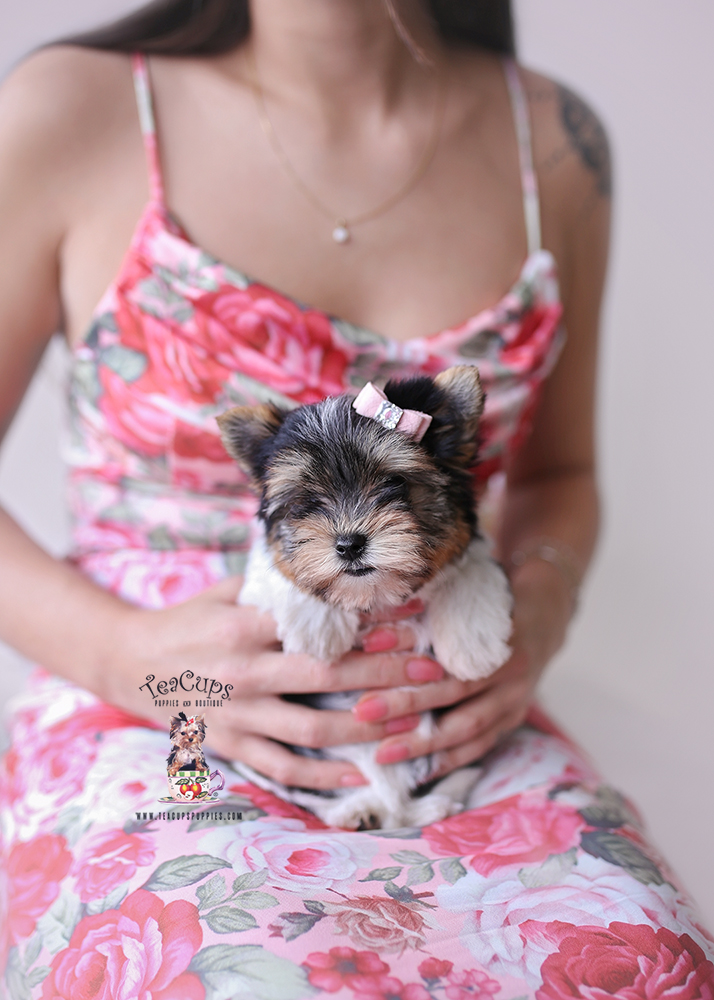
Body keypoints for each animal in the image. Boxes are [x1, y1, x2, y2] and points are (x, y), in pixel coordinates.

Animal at [217, 365, 512, 829]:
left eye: (395, 482)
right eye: (305, 501)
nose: (348, 544)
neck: (379, 597)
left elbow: (471, 568)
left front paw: (473, 647)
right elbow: (282, 568)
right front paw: (316, 626)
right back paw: (359, 810)